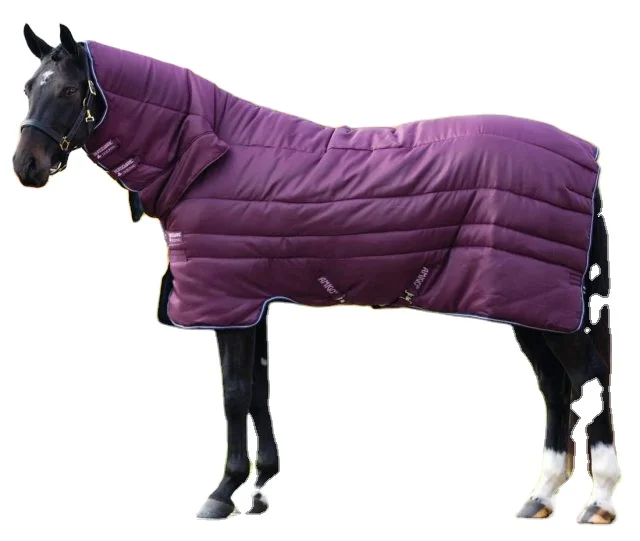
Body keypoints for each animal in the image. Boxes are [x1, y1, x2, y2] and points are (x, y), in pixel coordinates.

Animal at [12, 23, 620, 524]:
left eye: (69, 91)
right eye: (27, 88)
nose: (26, 166)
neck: (209, 156)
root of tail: (586, 157)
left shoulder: (226, 302)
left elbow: (233, 392)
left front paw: (222, 491)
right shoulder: (251, 303)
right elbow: (259, 390)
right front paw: (260, 488)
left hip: (541, 305)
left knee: (589, 377)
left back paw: (600, 499)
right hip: (527, 305)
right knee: (555, 387)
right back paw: (541, 495)